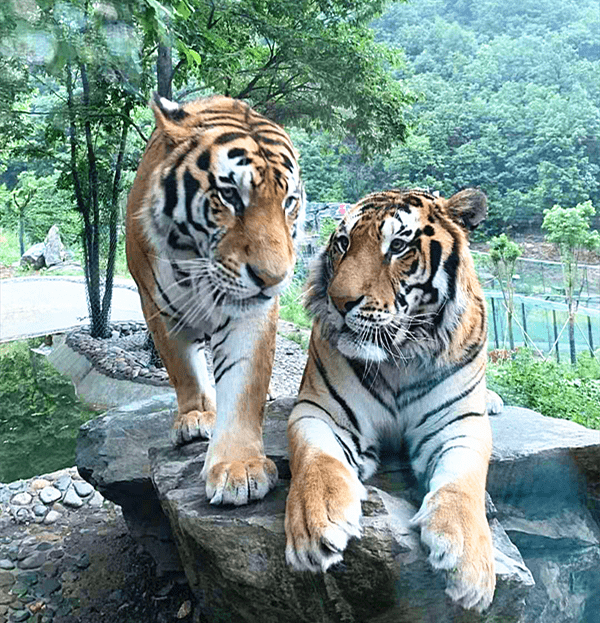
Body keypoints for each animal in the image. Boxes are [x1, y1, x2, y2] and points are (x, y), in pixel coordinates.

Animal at [126, 95, 304, 510]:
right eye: (231, 195)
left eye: (289, 201)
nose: (274, 278)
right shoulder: (158, 307)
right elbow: (184, 369)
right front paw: (195, 417)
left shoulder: (252, 313)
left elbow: (244, 383)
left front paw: (240, 468)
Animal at [284, 188, 496, 612]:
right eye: (343, 243)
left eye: (397, 246)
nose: (339, 301)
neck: (400, 356)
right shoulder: (321, 412)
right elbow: (317, 459)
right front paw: (317, 521)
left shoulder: (460, 425)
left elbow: (463, 481)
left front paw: (471, 563)